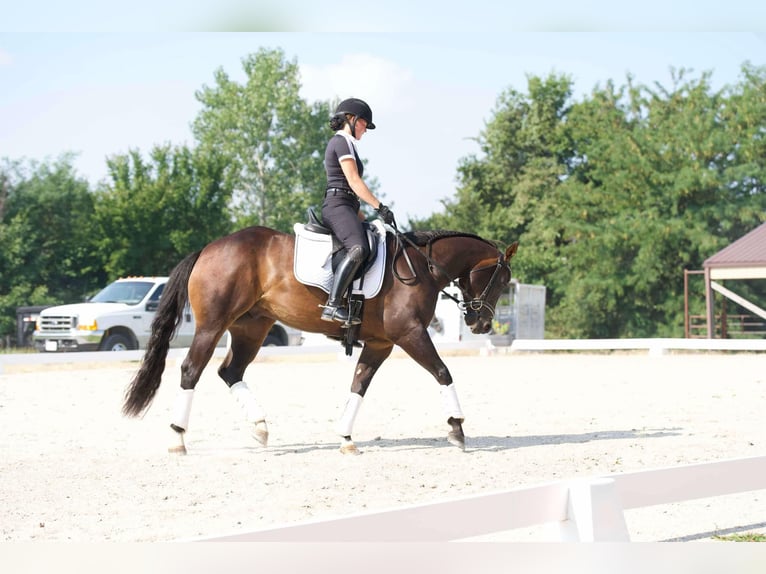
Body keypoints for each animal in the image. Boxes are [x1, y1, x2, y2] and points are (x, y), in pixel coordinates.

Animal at [122, 224, 518, 454]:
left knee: (230, 371)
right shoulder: (410, 334)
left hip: (252, 327)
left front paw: (345, 438)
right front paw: (457, 429)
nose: (482, 323)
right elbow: (442, 372)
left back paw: (260, 429)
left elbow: (359, 385)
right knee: (191, 369)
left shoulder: (381, 343)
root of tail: (207, 248)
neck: (420, 265)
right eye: (500, 280)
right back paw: (178, 438)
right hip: (213, 325)